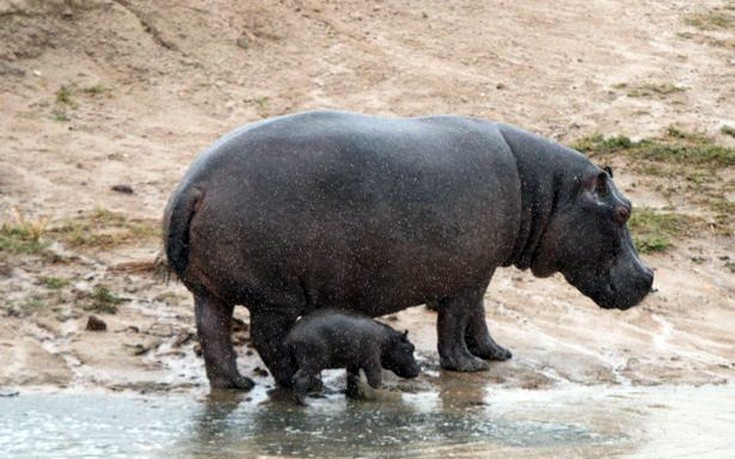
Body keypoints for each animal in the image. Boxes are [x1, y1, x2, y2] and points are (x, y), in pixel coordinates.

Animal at [162, 109, 656, 390]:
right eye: (623, 212)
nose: (650, 277)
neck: (547, 193)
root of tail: (194, 185)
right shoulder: (467, 275)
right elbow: (455, 321)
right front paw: (469, 367)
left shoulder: (479, 269)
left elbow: (479, 316)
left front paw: (497, 354)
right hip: (275, 297)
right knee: (266, 340)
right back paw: (296, 383)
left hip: (209, 290)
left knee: (213, 335)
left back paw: (237, 385)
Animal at [282, 310, 420, 406]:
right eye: (409, 348)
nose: (419, 369)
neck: (388, 340)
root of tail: (292, 334)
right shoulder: (372, 360)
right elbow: (375, 379)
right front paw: (381, 392)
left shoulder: (353, 363)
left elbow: (353, 379)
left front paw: (352, 397)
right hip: (313, 362)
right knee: (300, 378)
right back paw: (305, 404)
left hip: (294, 361)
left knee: (291, 377)